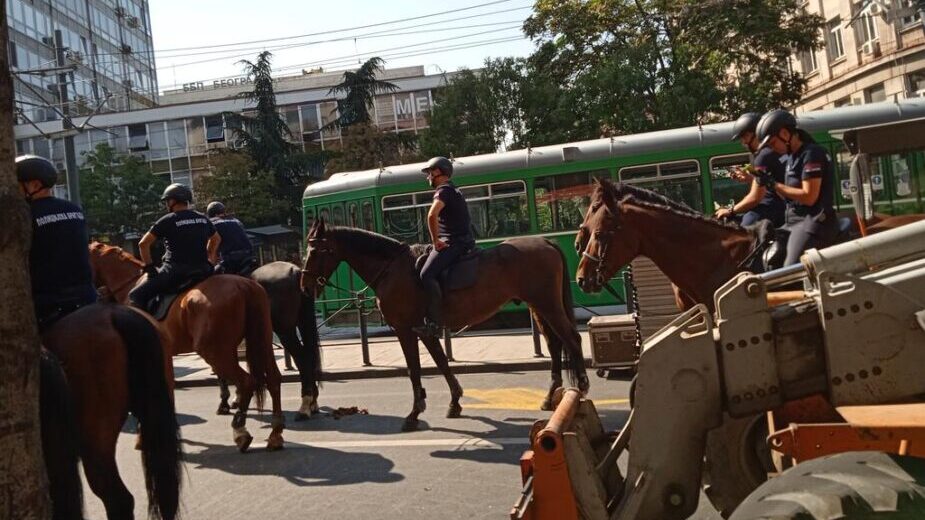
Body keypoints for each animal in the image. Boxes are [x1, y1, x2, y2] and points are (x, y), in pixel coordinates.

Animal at [90, 243, 286, 450]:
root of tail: (244, 285)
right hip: (261, 340)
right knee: (273, 379)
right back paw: (275, 433)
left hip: (215, 350)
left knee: (246, 381)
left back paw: (240, 430)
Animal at [298, 219, 584, 430]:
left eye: (315, 251)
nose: (305, 286)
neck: (392, 268)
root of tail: (545, 241)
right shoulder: (424, 329)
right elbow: (441, 361)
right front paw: (454, 401)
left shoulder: (405, 330)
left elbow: (414, 368)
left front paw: (414, 413)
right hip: (539, 307)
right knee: (555, 343)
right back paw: (550, 396)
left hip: (547, 304)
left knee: (572, 339)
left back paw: (581, 387)